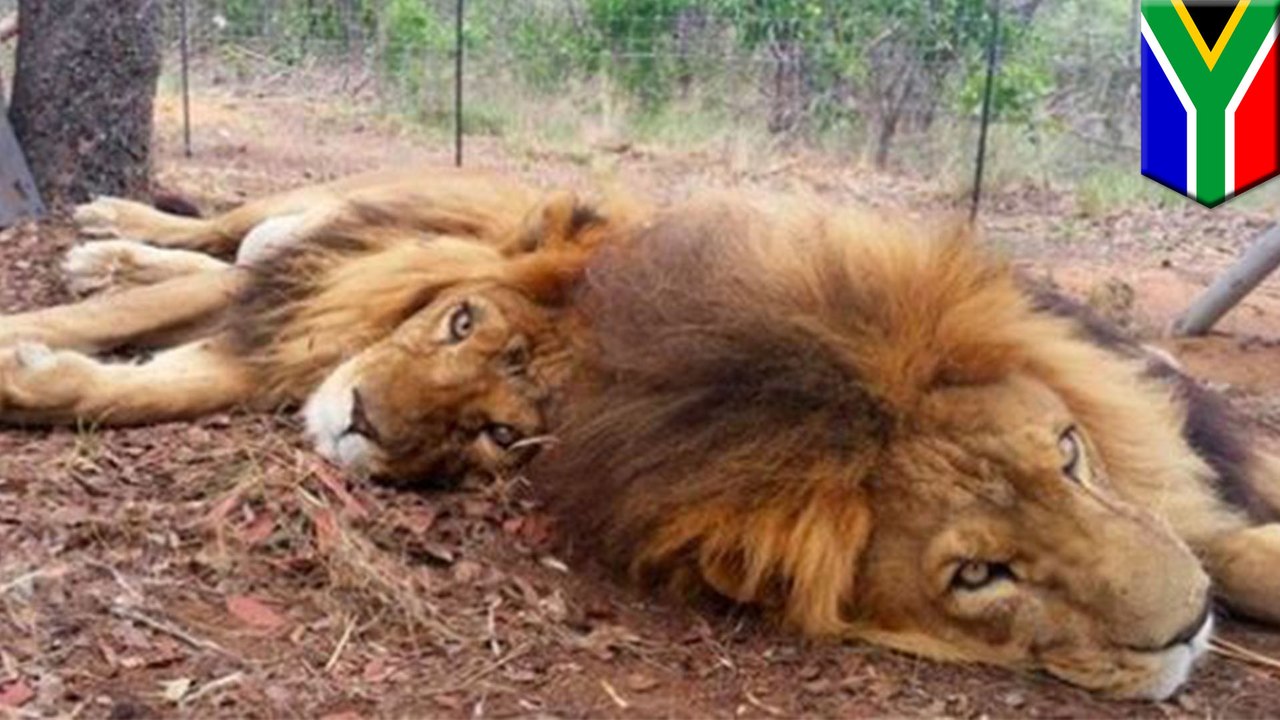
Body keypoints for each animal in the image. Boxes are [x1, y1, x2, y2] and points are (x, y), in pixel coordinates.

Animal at [0, 168, 619, 483]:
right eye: (462, 322)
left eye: (501, 434)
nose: (360, 419)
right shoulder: (292, 290)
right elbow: (104, 317)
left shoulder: (274, 347)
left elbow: (145, 393)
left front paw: (23, 381)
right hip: (328, 202)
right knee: (223, 232)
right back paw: (110, 223)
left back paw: (106, 262)